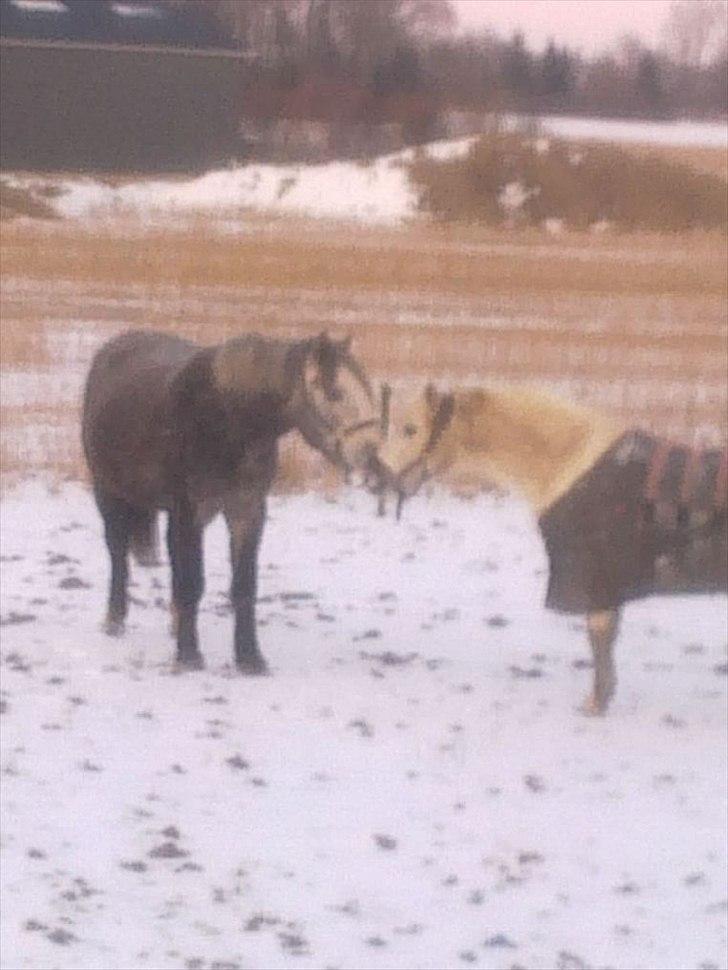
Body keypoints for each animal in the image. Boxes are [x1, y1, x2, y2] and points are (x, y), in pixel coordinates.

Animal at [82, 328, 381, 673]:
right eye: (335, 393)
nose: (370, 452)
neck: (228, 418)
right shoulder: (189, 511)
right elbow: (191, 582)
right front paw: (189, 655)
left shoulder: (247, 511)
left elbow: (244, 586)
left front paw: (249, 658)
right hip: (108, 493)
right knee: (117, 553)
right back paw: (115, 619)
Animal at [374, 382, 727, 714]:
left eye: (410, 429)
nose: (378, 475)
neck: (568, 463)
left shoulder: (594, 580)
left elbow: (599, 640)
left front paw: (595, 704)